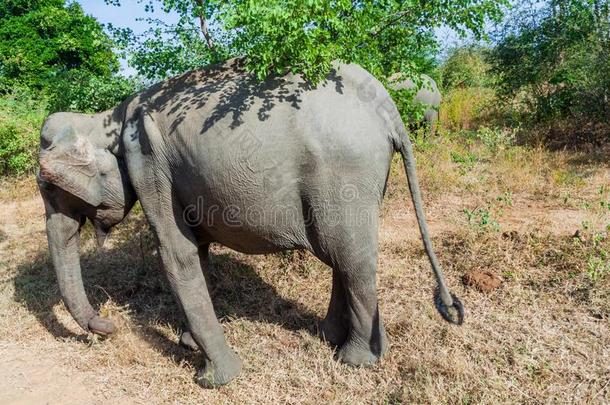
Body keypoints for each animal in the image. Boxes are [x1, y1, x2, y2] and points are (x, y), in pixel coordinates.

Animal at [35, 58, 460, 386]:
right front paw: (188, 345)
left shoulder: (149, 160)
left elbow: (176, 254)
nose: (108, 325)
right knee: (340, 252)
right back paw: (331, 338)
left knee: (349, 255)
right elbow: (197, 251)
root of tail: (385, 104)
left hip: (345, 170)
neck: (107, 118)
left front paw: (215, 379)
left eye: (51, 188)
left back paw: (354, 360)